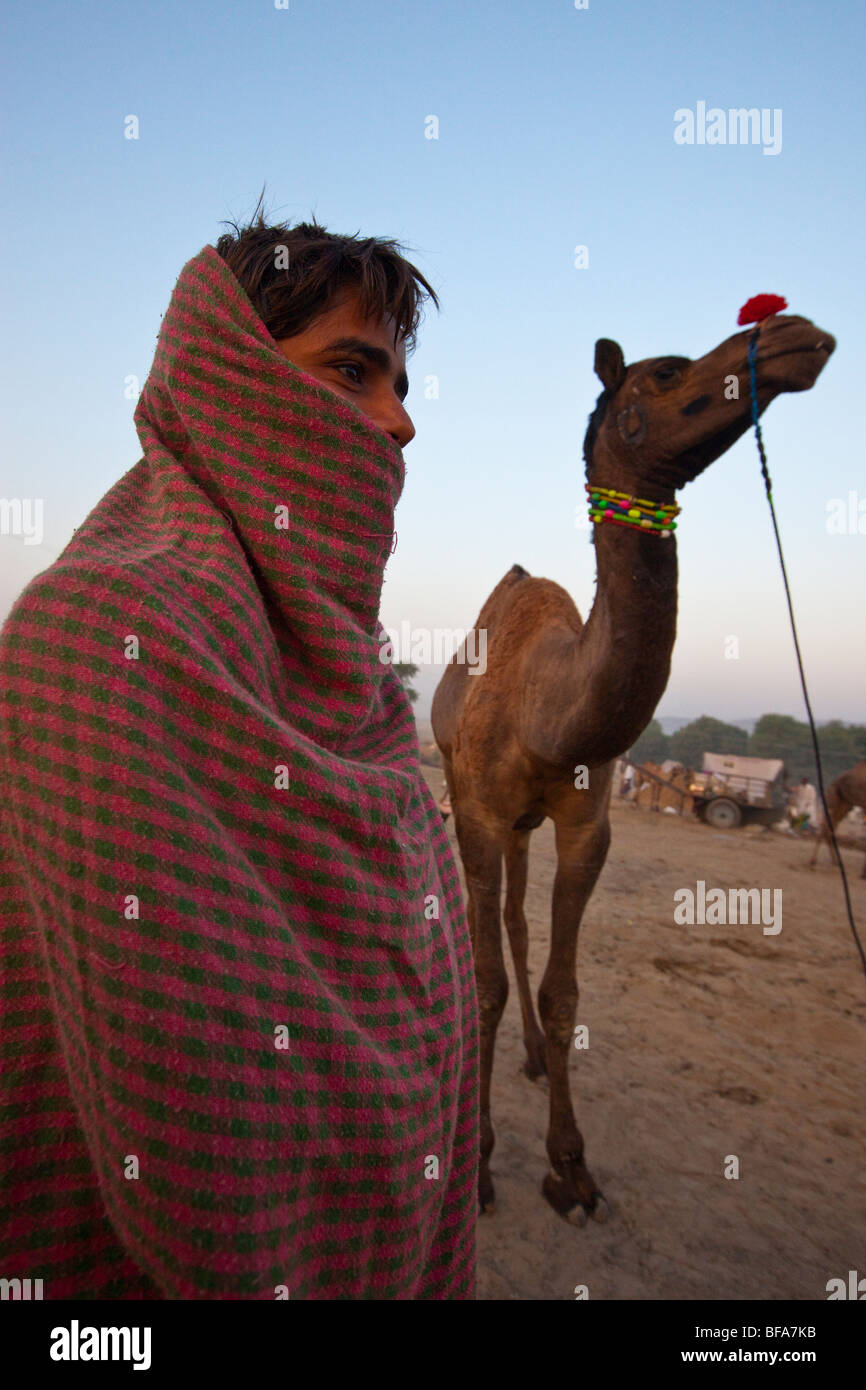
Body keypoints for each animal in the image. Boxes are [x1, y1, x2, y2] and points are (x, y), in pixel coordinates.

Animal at [430, 309, 839, 1223]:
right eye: (666, 372)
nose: (793, 333)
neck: (549, 710)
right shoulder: (477, 810)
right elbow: (483, 978)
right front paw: (480, 1163)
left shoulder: (589, 823)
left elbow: (564, 989)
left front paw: (571, 1169)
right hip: (470, 795)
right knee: (491, 925)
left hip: (527, 824)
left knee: (517, 922)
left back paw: (534, 1054)